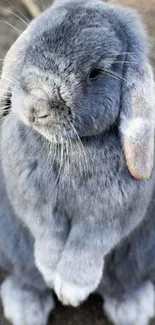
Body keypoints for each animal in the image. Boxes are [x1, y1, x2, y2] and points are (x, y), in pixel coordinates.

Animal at [0, 0, 155, 322]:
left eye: (96, 73)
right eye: (32, 43)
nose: (35, 106)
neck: (69, 147)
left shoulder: (109, 216)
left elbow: (87, 245)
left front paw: (71, 291)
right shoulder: (34, 204)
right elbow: (47, 234)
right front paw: (50, 273)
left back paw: (133, 309)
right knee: (25, 278)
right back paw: (25, 309)